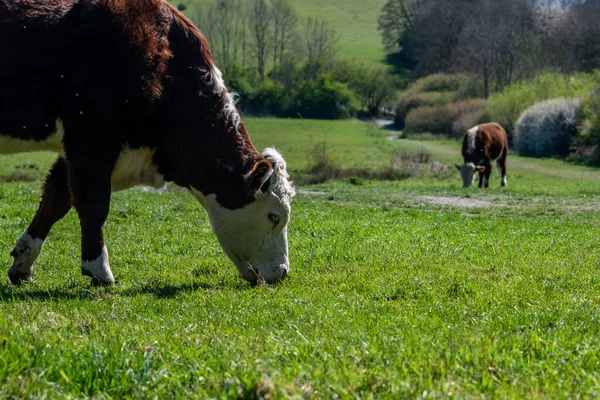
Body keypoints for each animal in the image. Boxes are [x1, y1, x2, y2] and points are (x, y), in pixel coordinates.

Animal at [0, 1, 296, 286]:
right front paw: (100, 270)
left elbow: (56, 199)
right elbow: (93, 205)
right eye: (274, 217)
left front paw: (23, 265)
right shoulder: (91, 142)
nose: (282, 272)